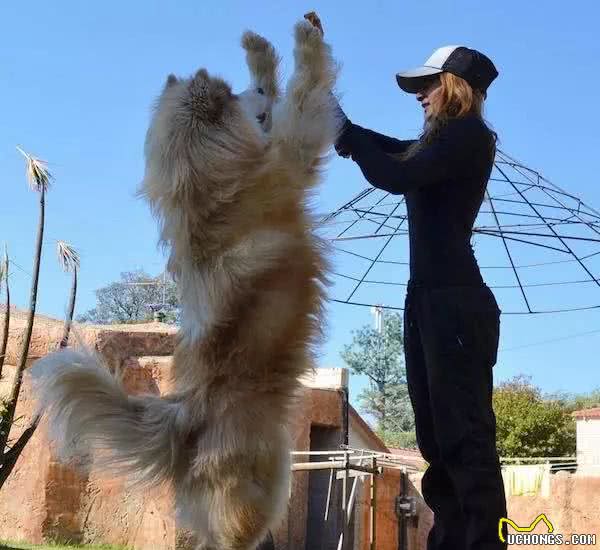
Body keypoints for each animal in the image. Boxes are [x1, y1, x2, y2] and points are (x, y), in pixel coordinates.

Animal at [31, 19, 342, 548]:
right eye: (238, 96)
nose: (258, 92)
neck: (205, 182)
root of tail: (183, 418)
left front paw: (260, 52)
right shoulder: (294, 146)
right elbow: (304, 90)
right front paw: (303, 43)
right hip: (261, 485)